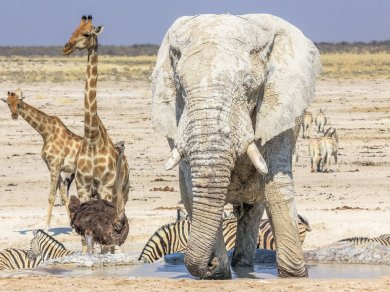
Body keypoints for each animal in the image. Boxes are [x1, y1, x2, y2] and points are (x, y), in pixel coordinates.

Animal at [1, 89, 82, 228]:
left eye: (19, 103)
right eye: (7, 103)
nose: (15, 115)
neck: (46, 133)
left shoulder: (55, 165)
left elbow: (51, 196)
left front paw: (47, 226)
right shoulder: (53, 167)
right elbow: (63, 195)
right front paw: (71, 225)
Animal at [63, 15, 130, 208]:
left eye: (86, 34)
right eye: (73, 31)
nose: (66, 47)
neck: (92, 138)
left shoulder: (105, 188)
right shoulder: (83, 188)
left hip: (122, 194)